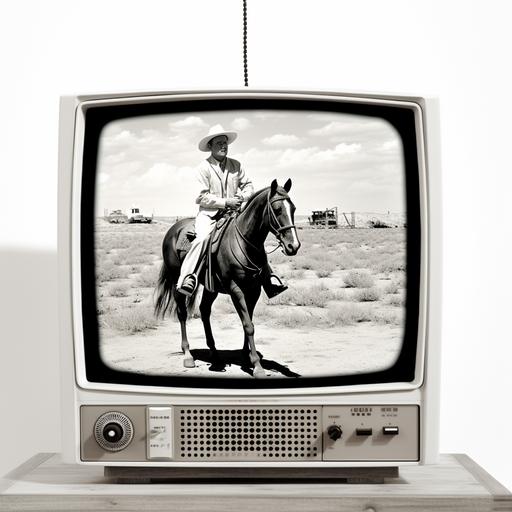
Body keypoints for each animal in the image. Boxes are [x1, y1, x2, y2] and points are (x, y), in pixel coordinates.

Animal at [154, 179, 302, 376]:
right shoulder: (235, 290)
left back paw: (215, 356)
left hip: (211, 288)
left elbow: (249, 322)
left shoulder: (253, 290)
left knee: (205, 311)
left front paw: (247, 357)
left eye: (293, 209)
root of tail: (173, 229)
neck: (244, 243)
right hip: (177, 281)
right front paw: (257, 366)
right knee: (182, 313)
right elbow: (248, 325)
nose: (293, 246)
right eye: (277, 209)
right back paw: (188, 355)